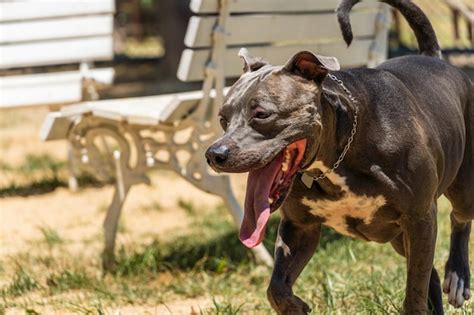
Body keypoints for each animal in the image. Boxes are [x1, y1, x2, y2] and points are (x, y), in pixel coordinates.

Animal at [205, 0, 474, 314]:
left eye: (261, 114)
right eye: (223, 119)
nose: (214, 153)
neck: (338, 156)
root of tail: (433, 58)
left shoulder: (420, 217)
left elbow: (413, 296)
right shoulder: (300, 227)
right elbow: (276, 288)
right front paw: (296, 306)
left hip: (461, 190)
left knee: (459, 218)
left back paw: (457, 276)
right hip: (401, 237)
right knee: (428, 270)